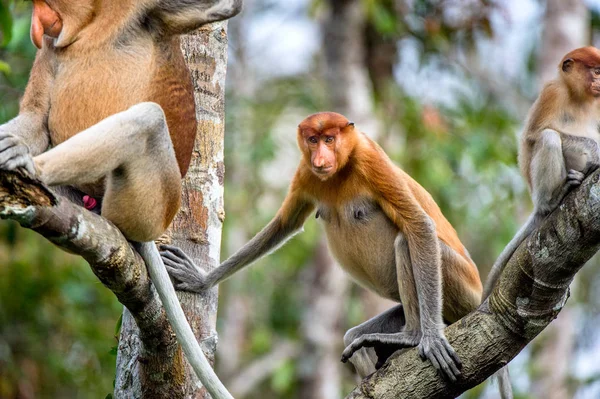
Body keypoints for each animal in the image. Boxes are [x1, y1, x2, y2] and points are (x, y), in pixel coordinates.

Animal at [1, 1, 244, 398]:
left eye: (43, 7)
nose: (37, 29)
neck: (92, 30)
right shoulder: (50, 48)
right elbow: (36, 118)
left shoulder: (149, 13)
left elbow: (222, 9)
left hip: (152, 204)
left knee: (146, 118)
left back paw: (29, 166)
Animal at [162, 111, 500, 388]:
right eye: (312, 140)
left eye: (329, 139)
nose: (320, 158)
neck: (342, 169)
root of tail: (478, 294)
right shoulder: (305, 172)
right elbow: (284, 224)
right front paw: (199, 279)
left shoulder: (370, 159)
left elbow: (419, 224)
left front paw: (430, 340)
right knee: (353, 336)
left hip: (458, 284)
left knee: (407, 239)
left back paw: (413, 336)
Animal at [482, 47, 600, 302]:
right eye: (596, 71)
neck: (579, 97)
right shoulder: (553, 93)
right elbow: (535, 135)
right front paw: (597, 153)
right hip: (540, 190)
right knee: (549, 137)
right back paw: (554, 199)